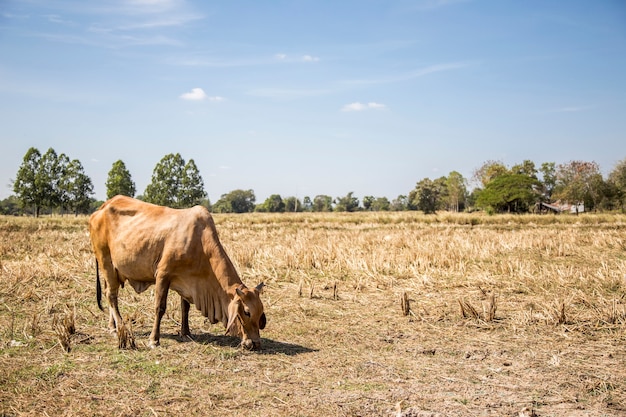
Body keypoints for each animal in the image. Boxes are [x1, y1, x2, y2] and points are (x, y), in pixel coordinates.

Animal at [88, 195, 264, 348]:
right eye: (246, 312)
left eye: (260, 310)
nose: (255, 343)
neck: (200, 242)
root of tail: (103, 207)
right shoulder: (163, 275)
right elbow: (160, 308)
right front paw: (154, 340)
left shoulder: (187, 281)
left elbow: (185, 308)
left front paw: (186, 333)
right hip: (106, 261)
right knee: (111, 296)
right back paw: (120, 327)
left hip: (112, 270)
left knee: (110, 293)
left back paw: (112, 326)